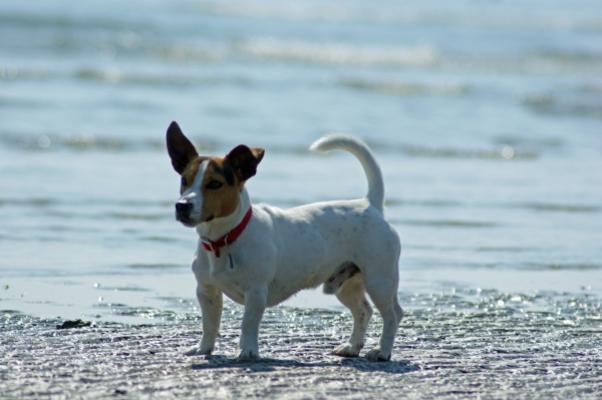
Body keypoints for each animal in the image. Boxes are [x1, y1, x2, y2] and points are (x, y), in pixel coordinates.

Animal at [164, 120, 400, 360]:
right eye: (185, 180)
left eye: (214, 184)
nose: (182, 206)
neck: (224, 239)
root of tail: (369, 204)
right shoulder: (206, 291)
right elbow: (209, 324)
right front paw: (204, 348)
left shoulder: (256, 292)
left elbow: (248, 324)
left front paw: (248, 351)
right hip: (346, 284)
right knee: (363, 310)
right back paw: (352, 346)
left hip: (380, 280)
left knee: (393, 314)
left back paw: (383, 351)